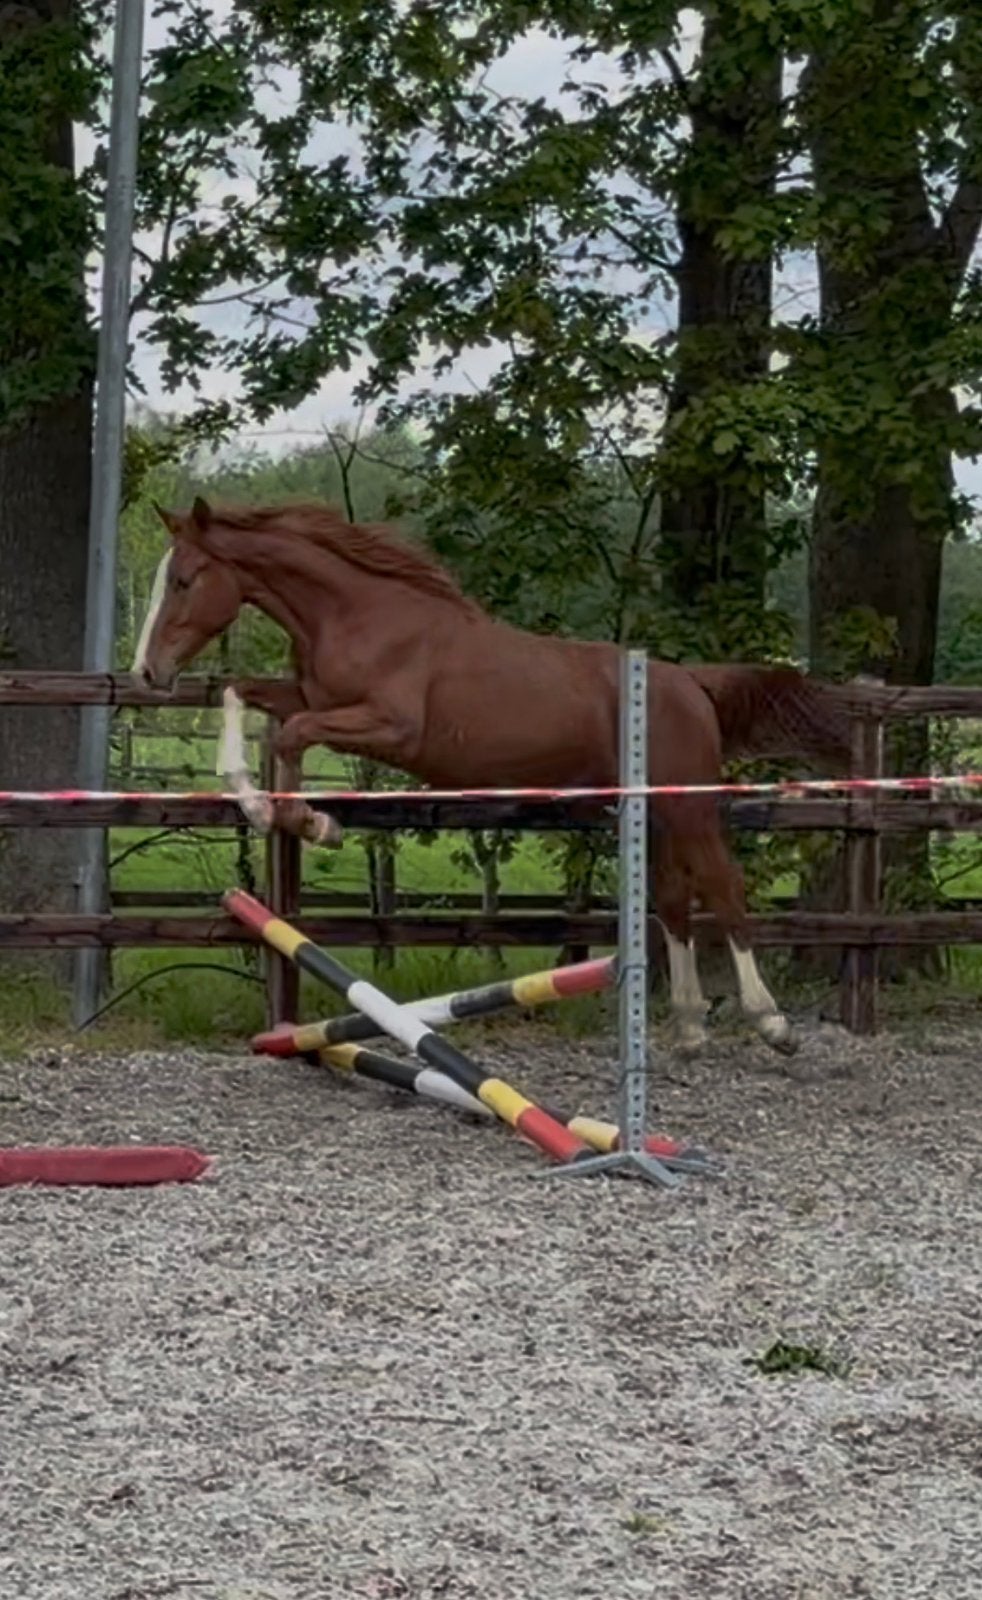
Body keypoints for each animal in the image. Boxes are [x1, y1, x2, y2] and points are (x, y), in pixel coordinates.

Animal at [132, 496, 854, 1056]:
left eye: (186, 580)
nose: (148, 673)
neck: (357, 614)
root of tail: (692, 684)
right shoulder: (310, 696)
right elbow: (241, 695)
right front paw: (285, 812)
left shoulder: (389, 726)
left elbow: (290, 734)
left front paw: (303, 819)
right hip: (649, 807)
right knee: (676, 899)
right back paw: (690, 1027)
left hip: (689, 806)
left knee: (723, 888)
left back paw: (771, 1022)